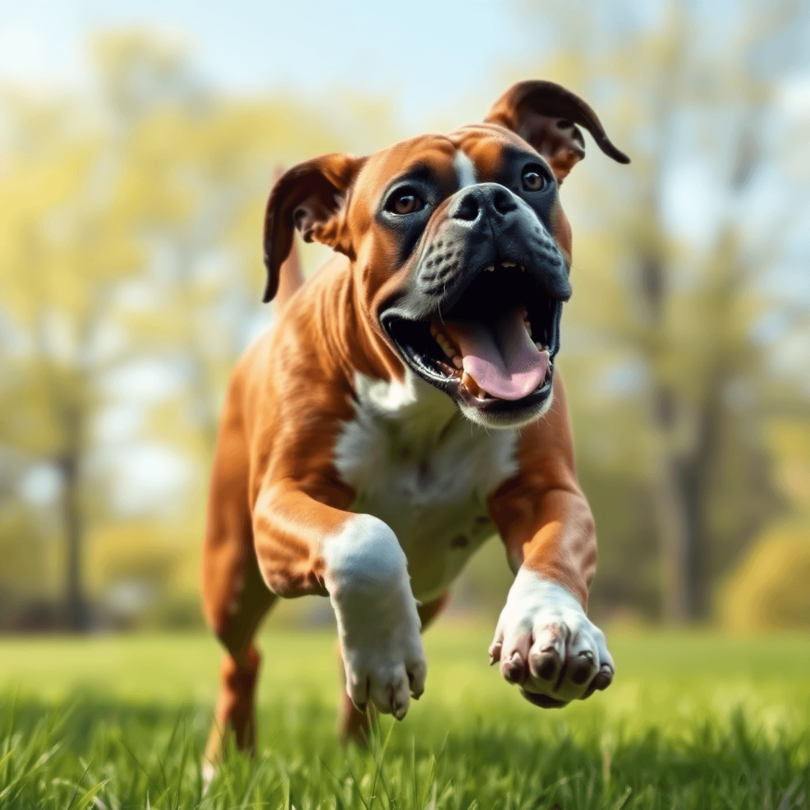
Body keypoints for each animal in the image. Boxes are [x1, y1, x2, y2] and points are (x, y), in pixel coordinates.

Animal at [199, 77, 628, 764]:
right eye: (405, 201)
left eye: (533, 177)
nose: (487, 202)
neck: (425, 402)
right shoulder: (282, 504)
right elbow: (366, 539)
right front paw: (385, 652)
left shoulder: (548, 492)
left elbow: (556, 550)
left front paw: (552, 626)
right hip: (234, 578)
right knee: (243, 660)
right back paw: (229, 758)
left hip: (429, 592)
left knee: (350, 672)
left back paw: (358, 744)